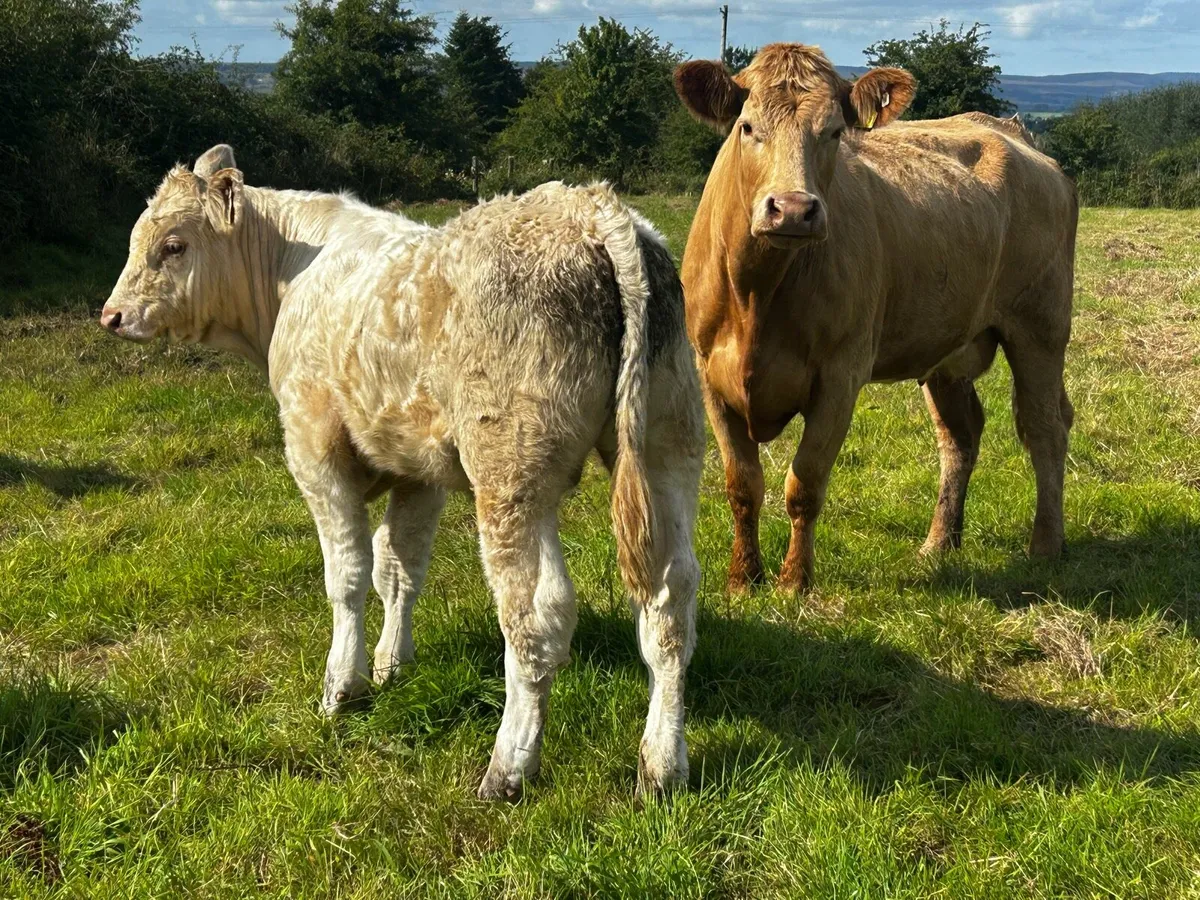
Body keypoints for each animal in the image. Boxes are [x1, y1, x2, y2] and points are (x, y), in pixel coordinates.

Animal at [99, 145, 705, 800]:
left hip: (511, 474)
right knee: (670, 603)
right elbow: (399, 568)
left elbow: (348, 574)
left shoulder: (314, 450)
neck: (293, 275)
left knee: (537, 616)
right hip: (668, 446)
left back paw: (509, 767)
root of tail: (589, 206)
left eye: (174, 245)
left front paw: (345, 685)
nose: (112, 315)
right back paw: (662, 767)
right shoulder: (420, 470)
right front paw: (394, 663)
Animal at [673, 44, 1078, 594]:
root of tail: (1013, 133)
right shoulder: (708, 372)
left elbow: (805, 482)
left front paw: (795, 582)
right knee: (960, 434)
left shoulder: (840, 376)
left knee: (1044, 426)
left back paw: (1045, 545)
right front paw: (743, 578)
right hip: (948, 347)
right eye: (747, 126)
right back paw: (938, 542)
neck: (758, 294)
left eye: (833, 132)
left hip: (1041, 326)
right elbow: (741, 484)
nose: (793, 209)